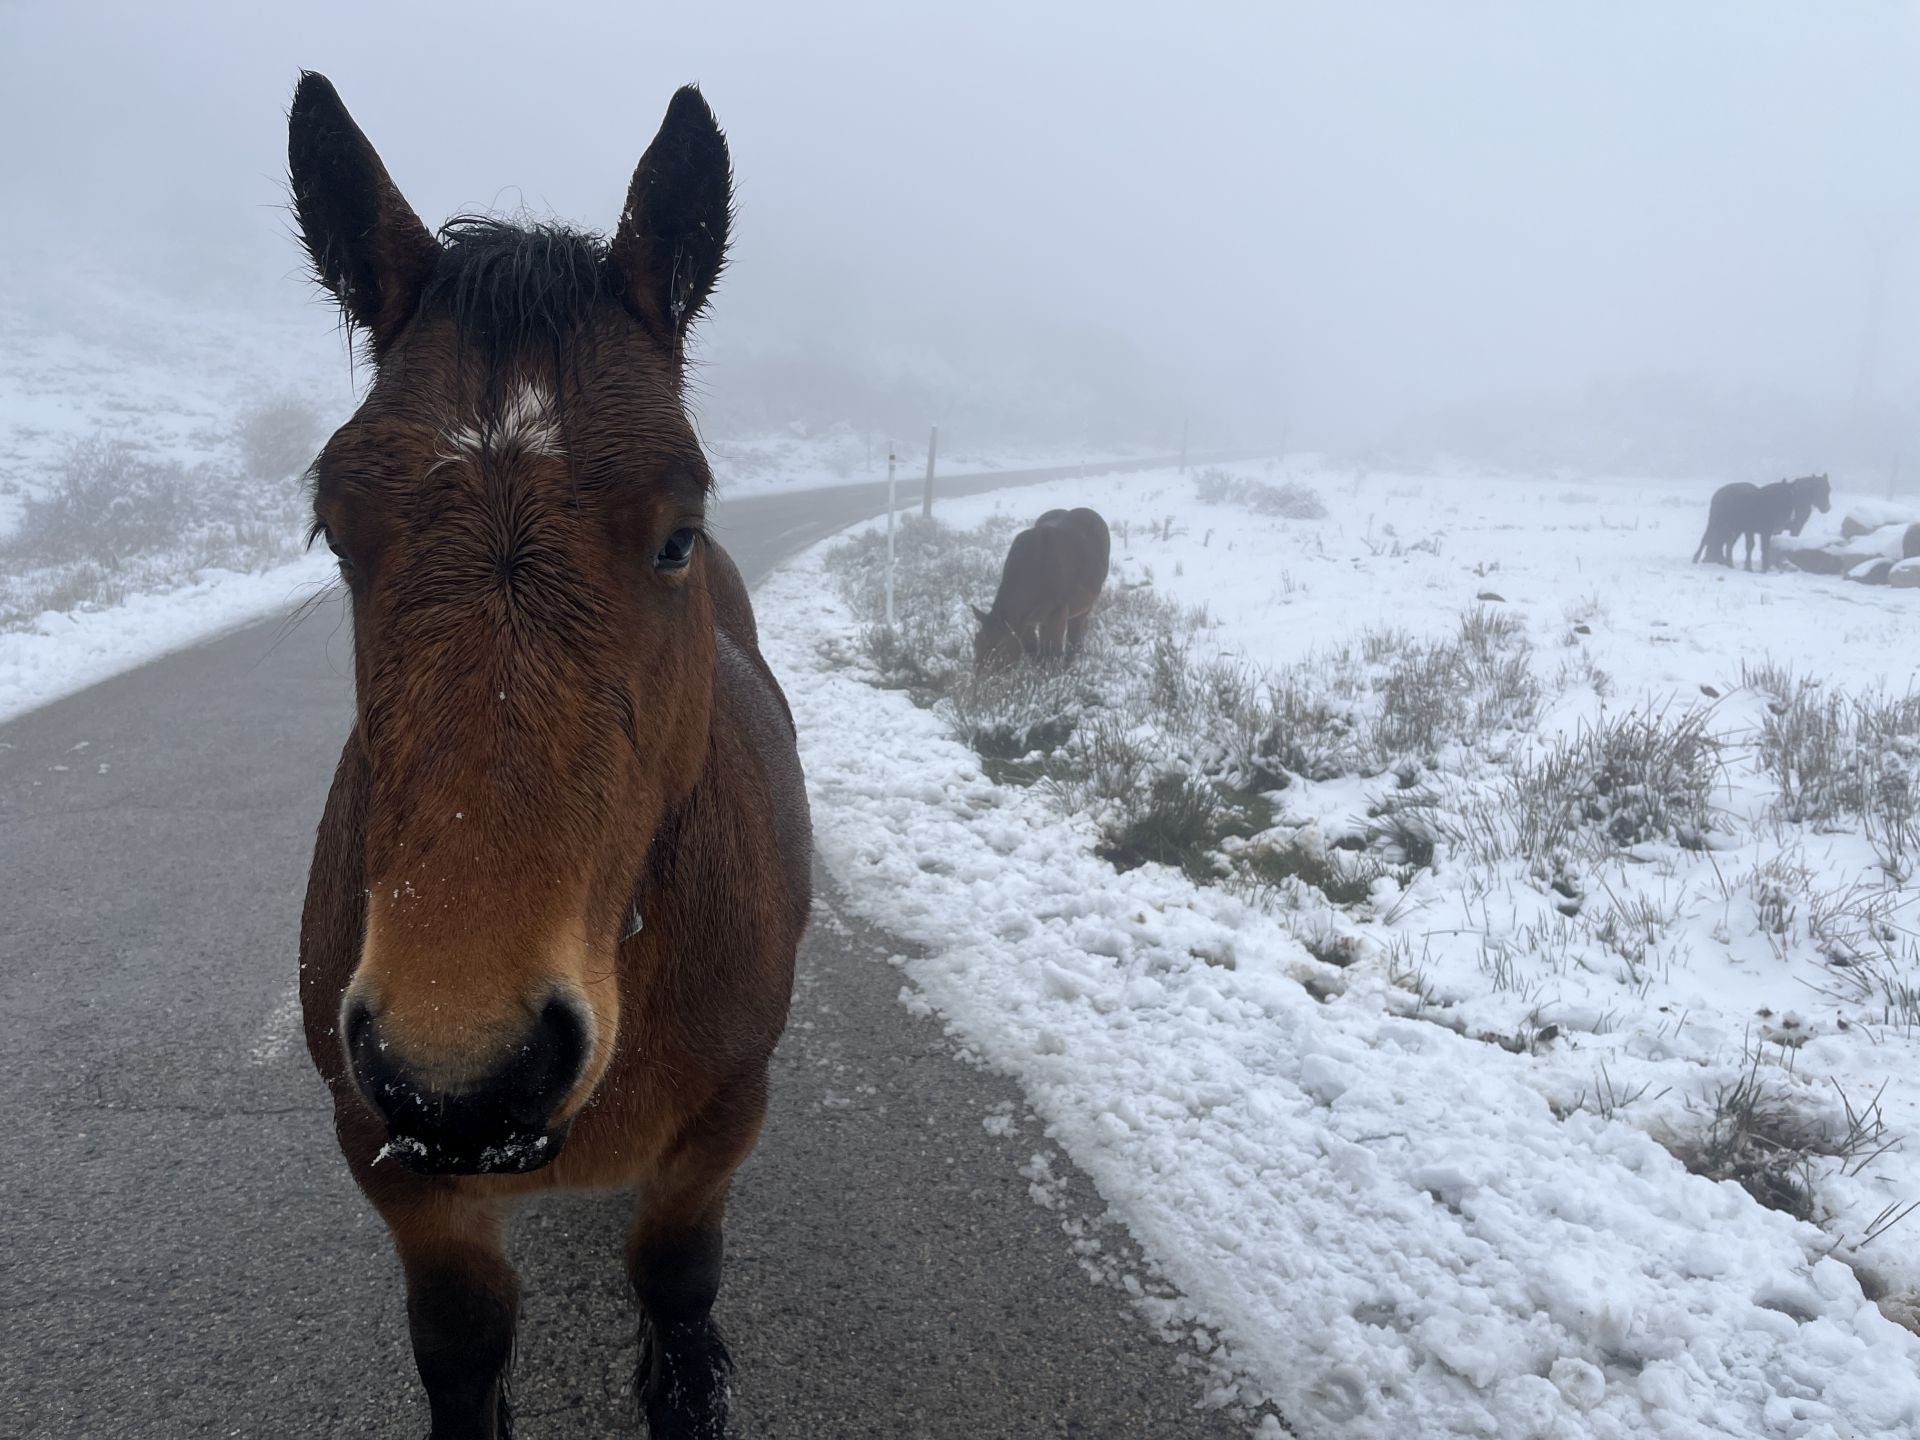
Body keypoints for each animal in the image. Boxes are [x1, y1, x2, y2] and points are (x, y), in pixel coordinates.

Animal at [288, 73, 814, 1436]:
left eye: (678, 533)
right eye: (335, 527)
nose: (462, 1073)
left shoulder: (720, 1131)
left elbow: (677, 1292)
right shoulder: (399, 1174)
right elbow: (464, 1345)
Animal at [975, 506, 1113, 675]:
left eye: (1000, 648)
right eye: (976, 643)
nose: (980, 681)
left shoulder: (1058, 613)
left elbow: (1053, 652)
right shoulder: (1026, 621)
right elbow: (1033, 650)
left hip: (1083, 608)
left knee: (1075, 635)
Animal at [1689, 470, 1835, 568]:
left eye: (1829, 489)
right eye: (1819, 490)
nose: (1827, 508)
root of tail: (1720, 492)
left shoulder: (1789, 529)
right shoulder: (1778, 529)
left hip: (1733, 529)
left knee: (1725, 544)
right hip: (1716, 522)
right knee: (1706, 539)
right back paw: (1698, 558)